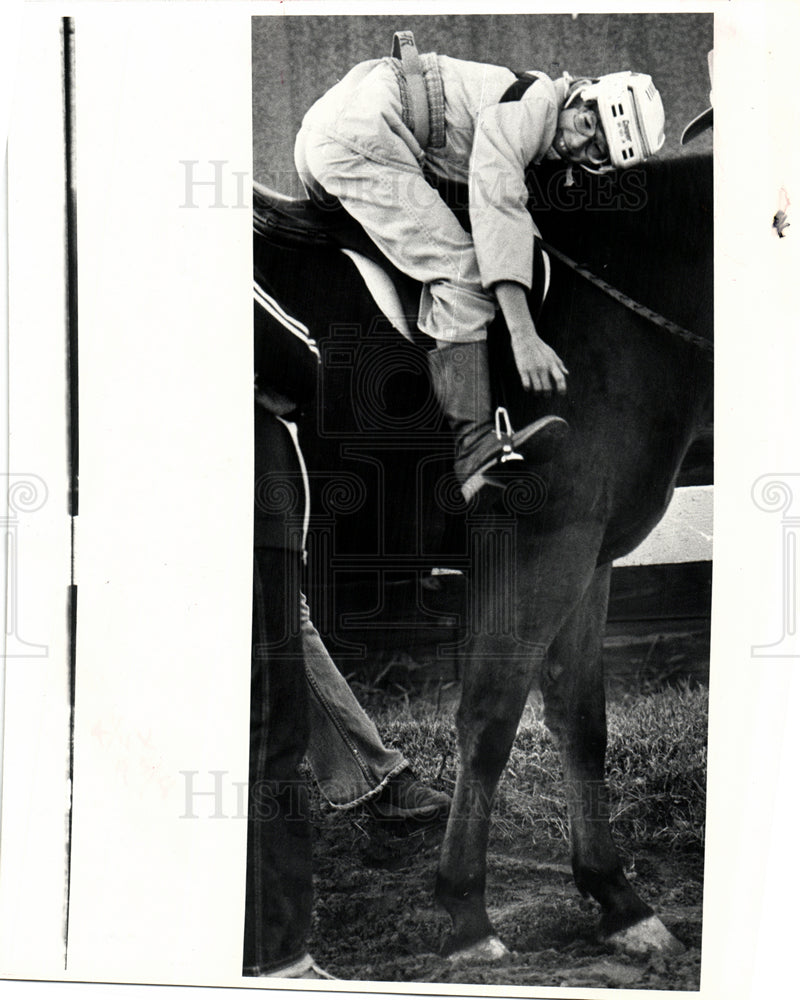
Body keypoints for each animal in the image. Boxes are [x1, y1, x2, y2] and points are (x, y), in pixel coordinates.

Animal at [252, 154, 712, 960]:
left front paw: (617, 898)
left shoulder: (587, 553)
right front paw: (467, 911)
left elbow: (580, 719)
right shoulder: (541, 547)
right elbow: (492, 719)